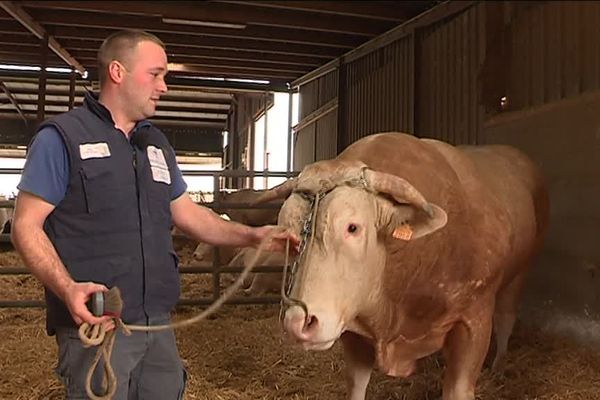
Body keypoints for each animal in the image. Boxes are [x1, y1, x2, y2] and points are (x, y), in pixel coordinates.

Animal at [256, 133, 548, 400]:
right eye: (288, 235)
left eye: (352, 227)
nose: (297, 323)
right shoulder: (354, 329)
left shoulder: (474, 321)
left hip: (520, 273)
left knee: (506, 317)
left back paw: (498, 365)